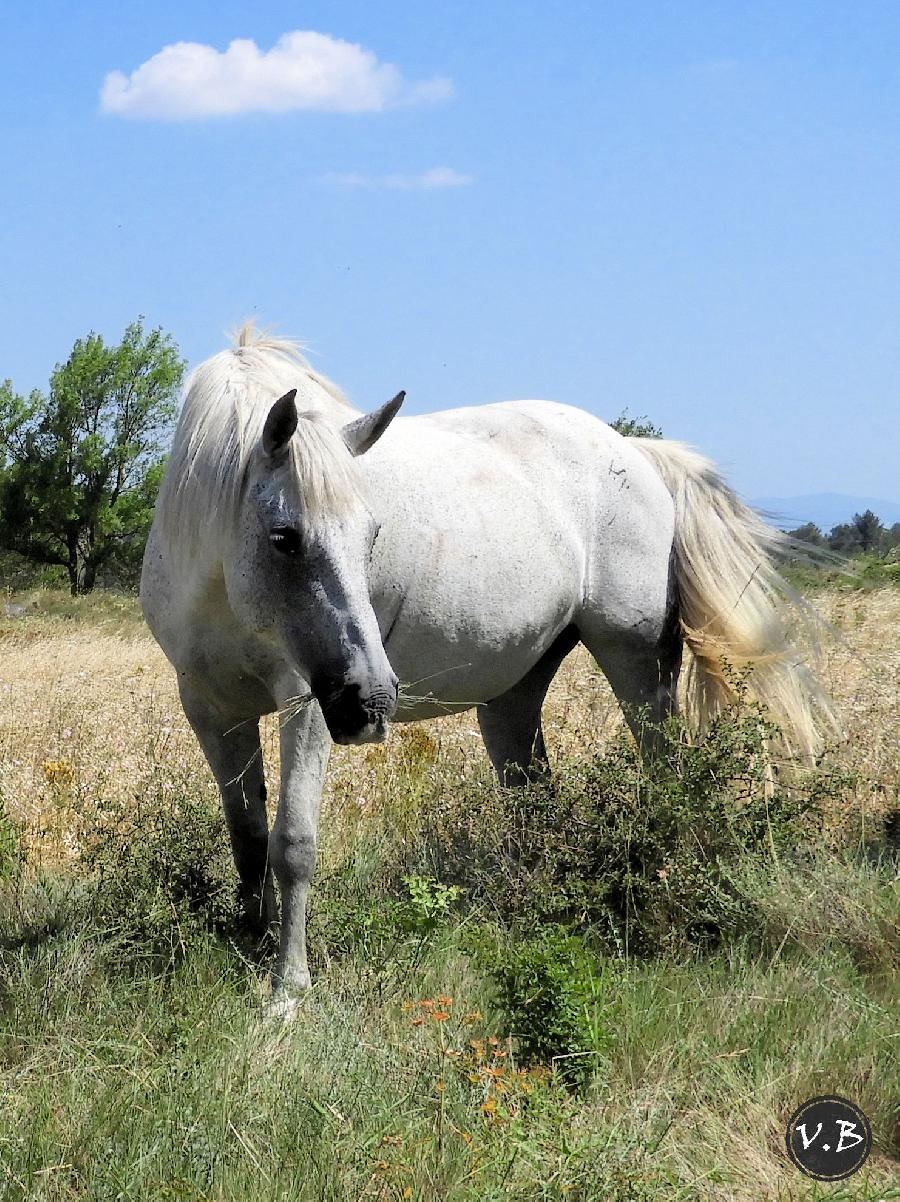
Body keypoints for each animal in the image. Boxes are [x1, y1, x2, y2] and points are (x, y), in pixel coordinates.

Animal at [138, 324, 826, 1000]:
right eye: (285, 537)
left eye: (372, 535)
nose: (373, 701)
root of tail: (635, 452)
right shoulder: (210, 709)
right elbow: (247, 835)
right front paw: (249, 943)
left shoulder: (306, 703)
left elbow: (292, 843)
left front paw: (288, 986)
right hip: (514, 692)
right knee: (532, 795)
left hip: (636, 664)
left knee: (662, 774)